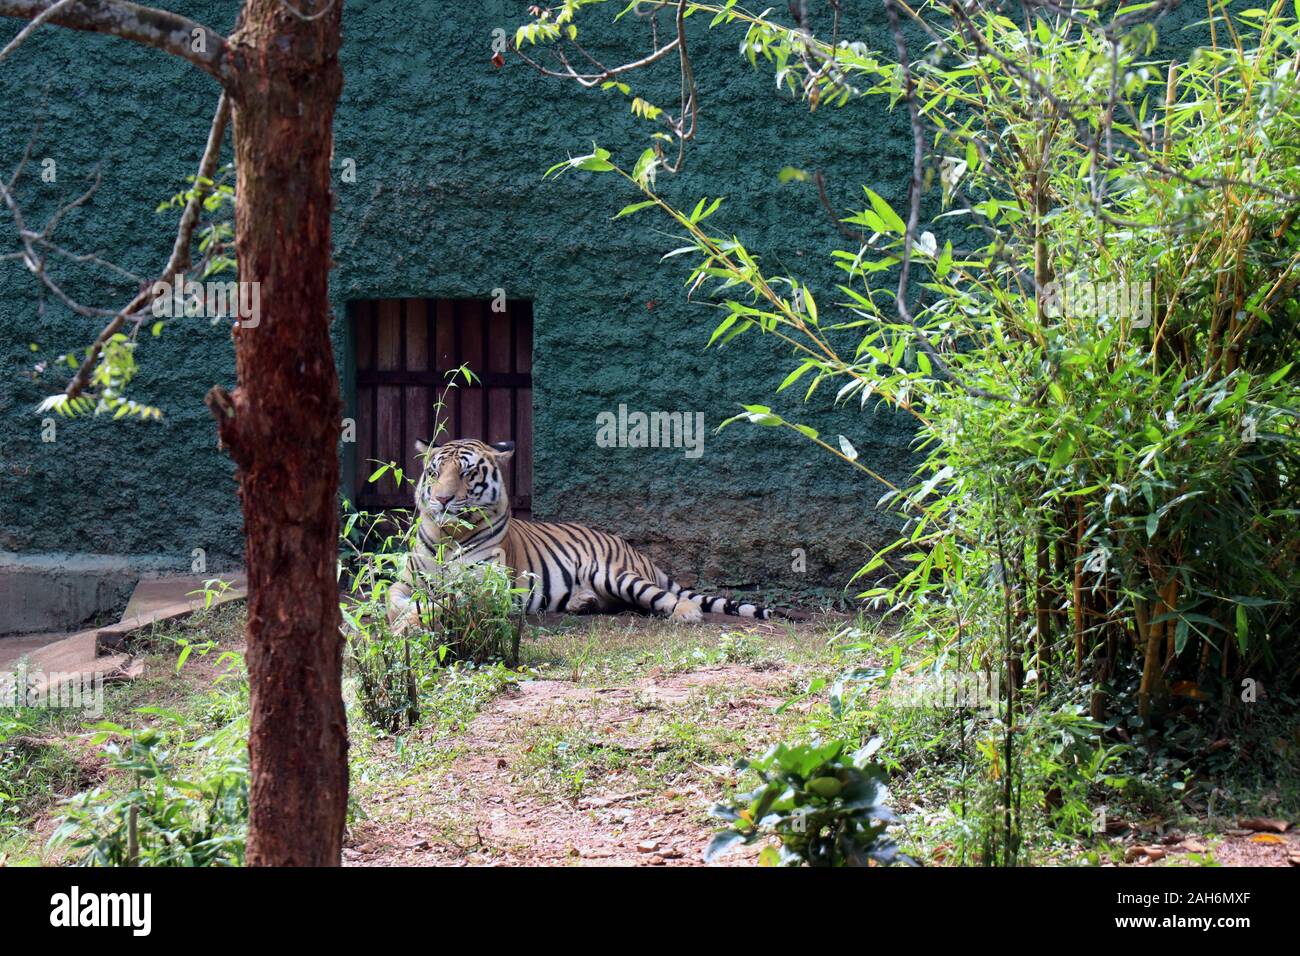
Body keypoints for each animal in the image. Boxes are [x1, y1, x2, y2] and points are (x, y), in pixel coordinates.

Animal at [379, 437, 774, 632]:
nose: (442, 499)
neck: (447, 535)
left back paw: (686, 613)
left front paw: (412, 622)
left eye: (466, 473)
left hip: (617, 575)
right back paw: (581, 603)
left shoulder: (485, 587)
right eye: (434, 472)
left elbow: (442, 604)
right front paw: (403, 619)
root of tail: (636, 552)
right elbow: (392, 599)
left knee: (663, 597)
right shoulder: (405, 582)